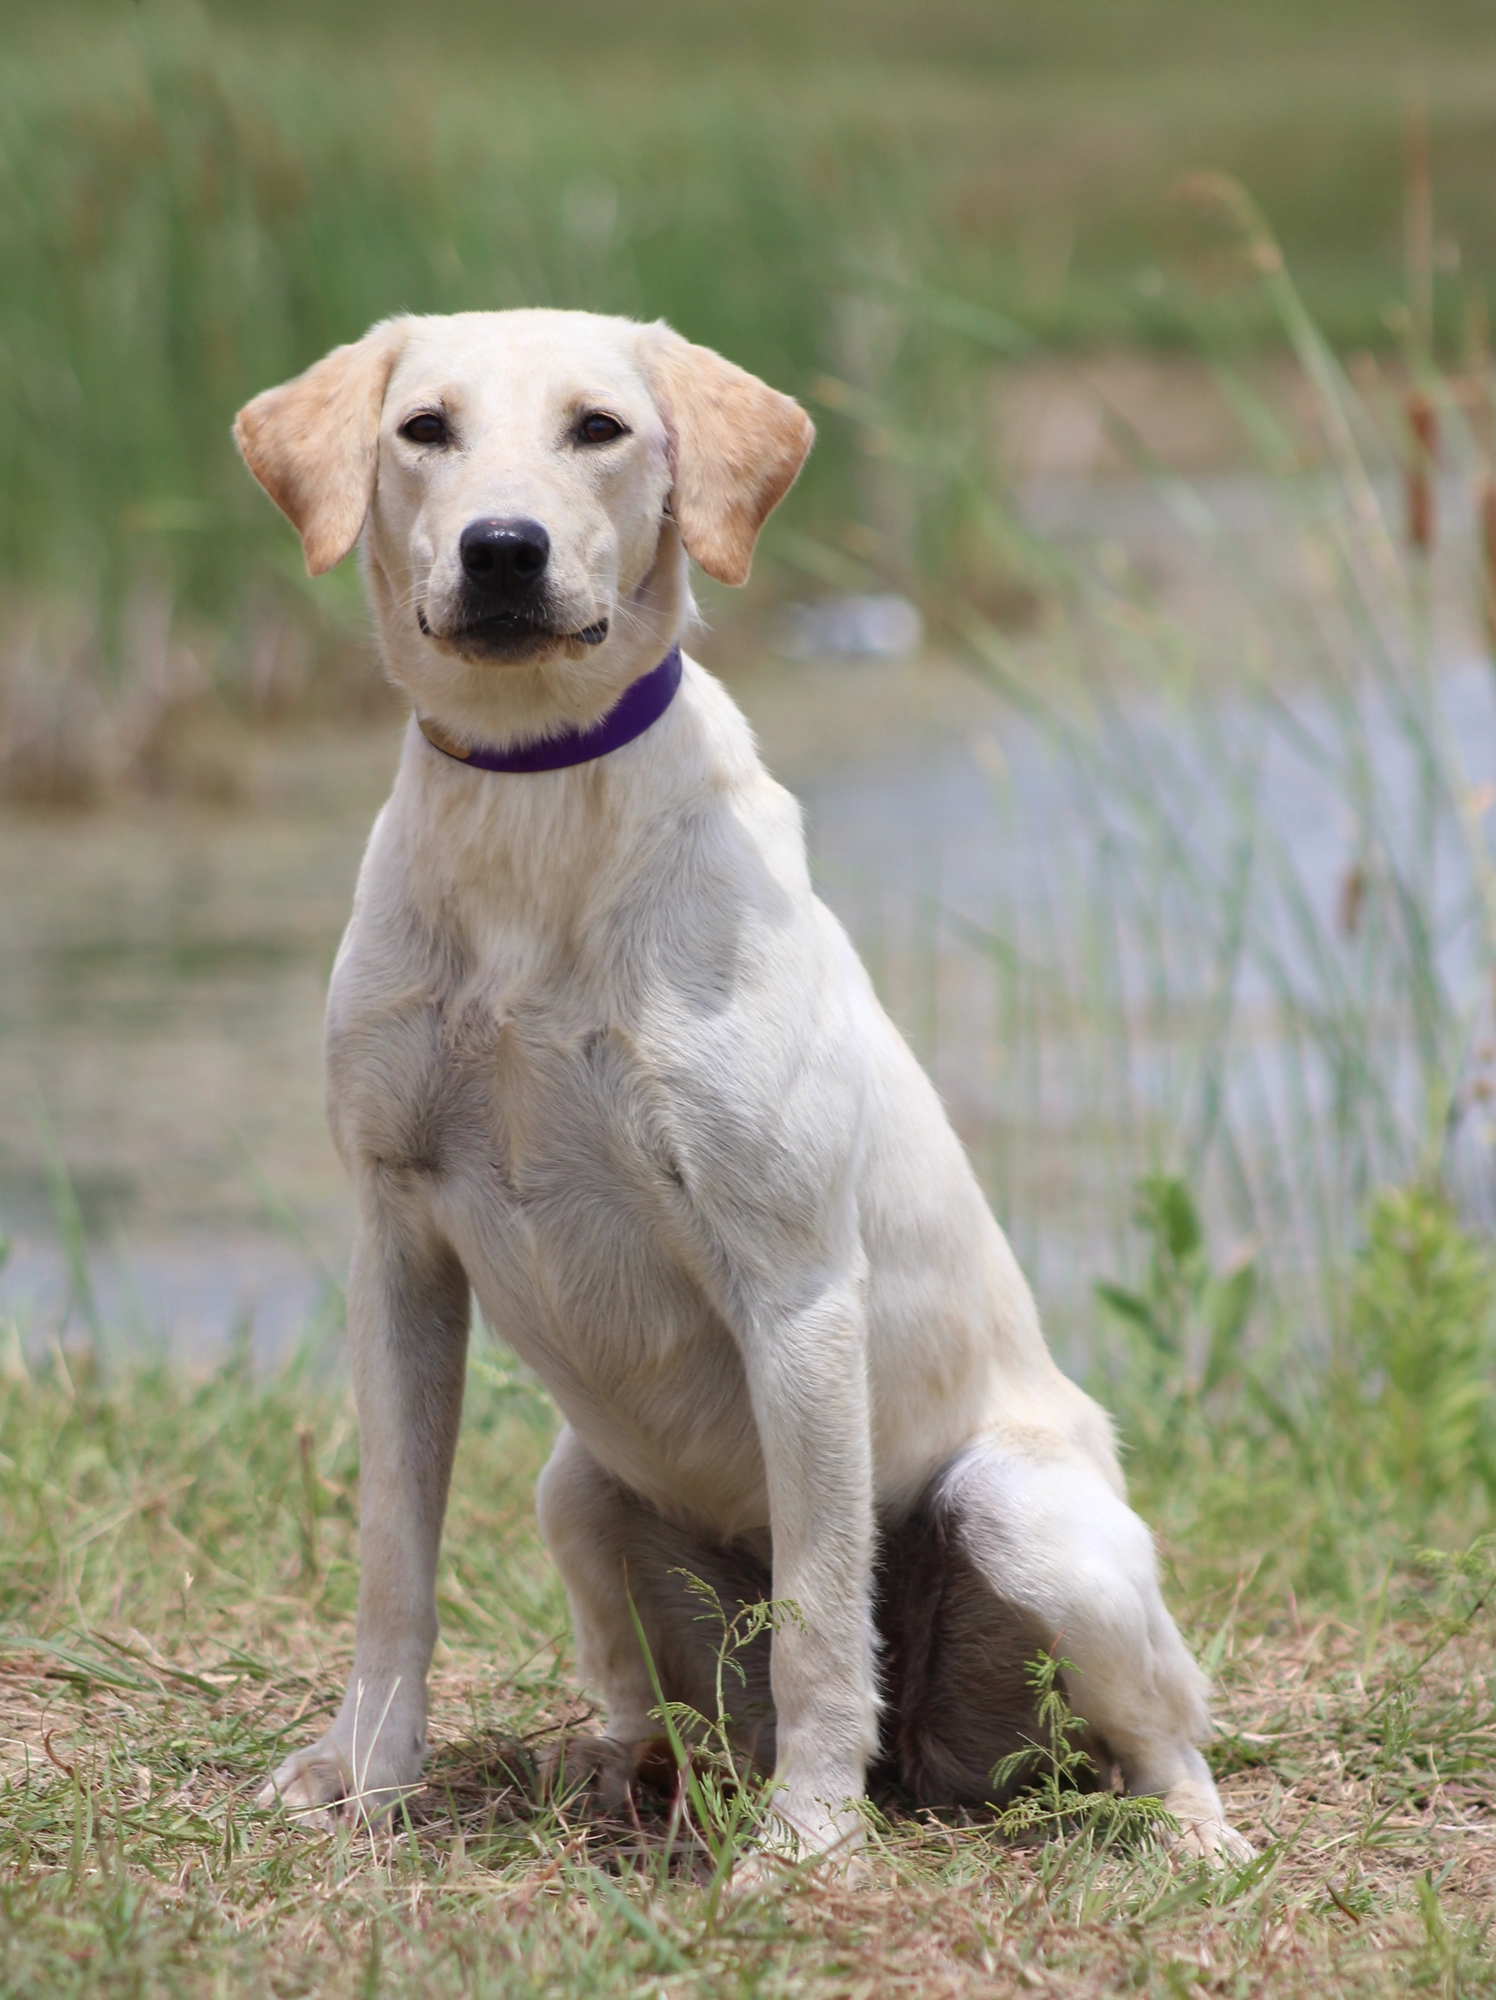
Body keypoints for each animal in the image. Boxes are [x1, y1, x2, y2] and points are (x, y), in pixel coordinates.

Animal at [234, 308, 1248, 1856]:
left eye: (599, 427)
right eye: (424, 430)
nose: (503, 549)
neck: (535, 808)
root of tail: (930, 1763)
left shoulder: (794, 1283)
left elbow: (827, 1617)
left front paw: (806, 1843)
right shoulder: (397, 1247)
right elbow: (393, 1568)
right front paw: (363, 1774)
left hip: (1027, 1521)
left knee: (1153, 1731)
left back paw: (1182, 1837)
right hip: (580, 1489)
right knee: (668, 1694)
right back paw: (630, 1768)